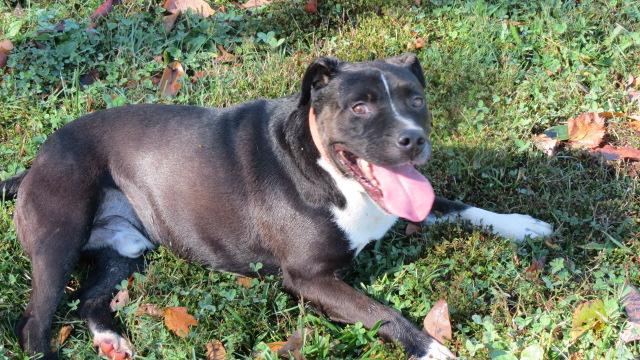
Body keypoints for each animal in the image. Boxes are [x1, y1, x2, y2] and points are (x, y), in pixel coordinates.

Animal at [0, 52, 552, 358]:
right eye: (360, 106)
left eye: (415, 98)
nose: (413, 139)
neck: (329, 170)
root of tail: (34, 162)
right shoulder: (309, 278)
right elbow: (384, 314)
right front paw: (434, 349)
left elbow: (462, 207)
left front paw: (523, 226)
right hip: (59, 238)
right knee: (34, 324)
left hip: (125, 251)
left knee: (89, 300)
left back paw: (112, 340)